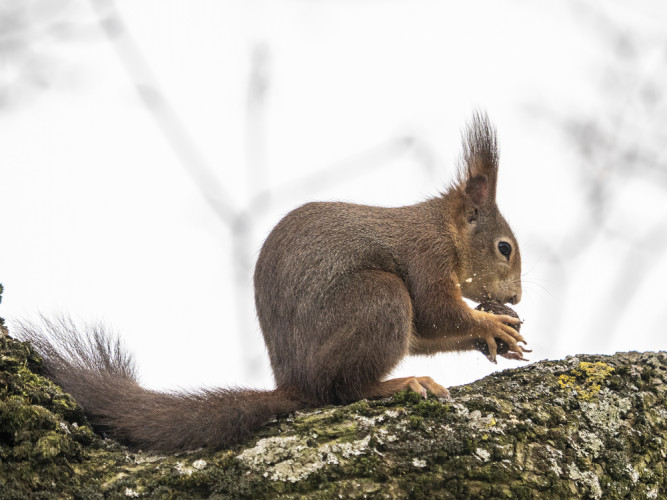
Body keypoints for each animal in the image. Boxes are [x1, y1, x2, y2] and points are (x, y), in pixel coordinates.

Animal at [14, 112, 528, 454]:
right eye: (504, 248)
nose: (517, 296)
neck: (445, 230)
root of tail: (293, 382)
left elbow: (428, 331)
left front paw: (498, 334)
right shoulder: (425, 257)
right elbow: (435, 312)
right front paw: (491, 324)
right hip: (379, 298)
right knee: (341, 391)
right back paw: (401, 383)